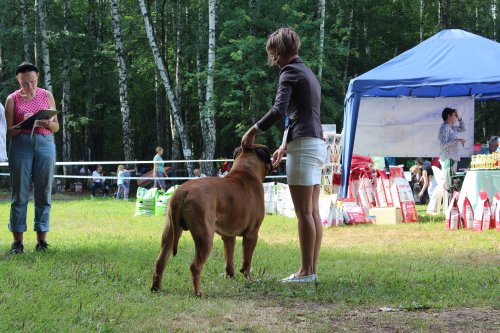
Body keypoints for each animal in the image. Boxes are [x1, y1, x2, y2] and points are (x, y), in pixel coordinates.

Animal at [150, 144, 272, 294]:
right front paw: (249, 280)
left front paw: (230, 277)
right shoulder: (251, 235)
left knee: (160, 262)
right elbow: (247, 262)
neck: (246, 171)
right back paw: (198, 292)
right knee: (195, 266)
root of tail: (183, 191)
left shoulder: (228, 237)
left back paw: (156, 288)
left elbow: (229, 260)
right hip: (205, 237)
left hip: (169, 233)